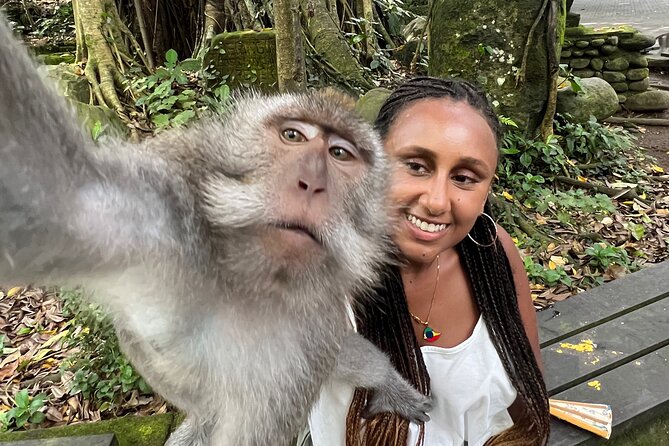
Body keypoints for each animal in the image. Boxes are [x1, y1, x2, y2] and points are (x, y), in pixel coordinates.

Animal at [0, 18, 431, 446]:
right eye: (293, 135)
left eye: (340, 154)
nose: (310, 182)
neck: (247, 282)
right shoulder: (157, 215)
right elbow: (61, 195)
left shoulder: (312, 333)